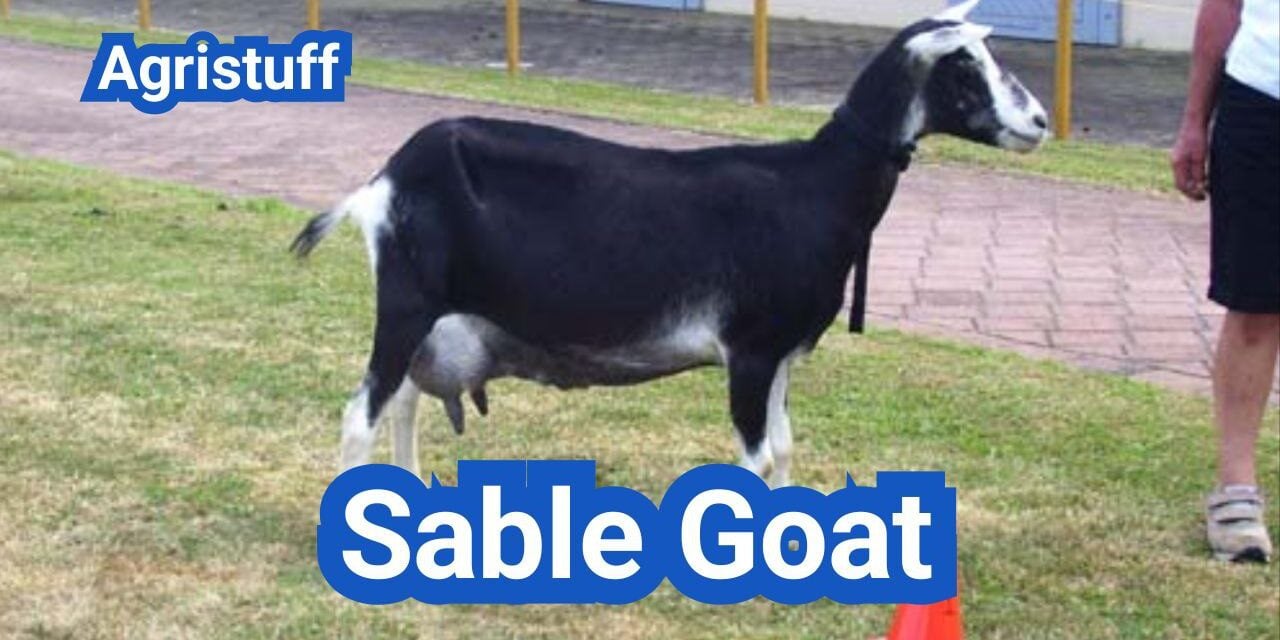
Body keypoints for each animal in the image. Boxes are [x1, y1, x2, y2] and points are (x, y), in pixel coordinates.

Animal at [291, 1, 1047, 487]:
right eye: (963, 67)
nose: (1039, 121)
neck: (816, 182)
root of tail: (383, 179)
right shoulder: (749, 350)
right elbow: (757, 459)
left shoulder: (782, 353)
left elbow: (784, 448)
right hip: (407, 304)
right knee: (361, 413)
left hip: (431, 319)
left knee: (403, 404)